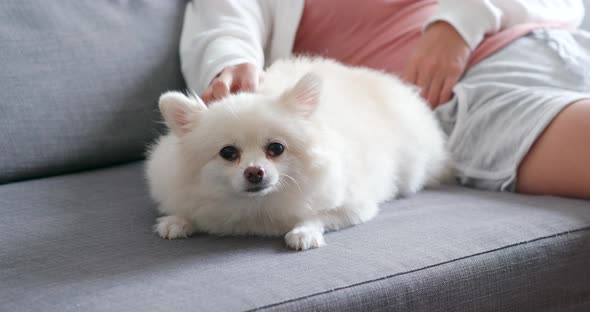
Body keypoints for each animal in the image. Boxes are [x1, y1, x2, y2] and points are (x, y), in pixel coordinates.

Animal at [145, 56, 448, 251]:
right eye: (228, 152)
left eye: (276, 149)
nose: (255, 172)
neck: (257, 208)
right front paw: (178, 220)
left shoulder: (355, 206)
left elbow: (321, 215)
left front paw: (305, 231)